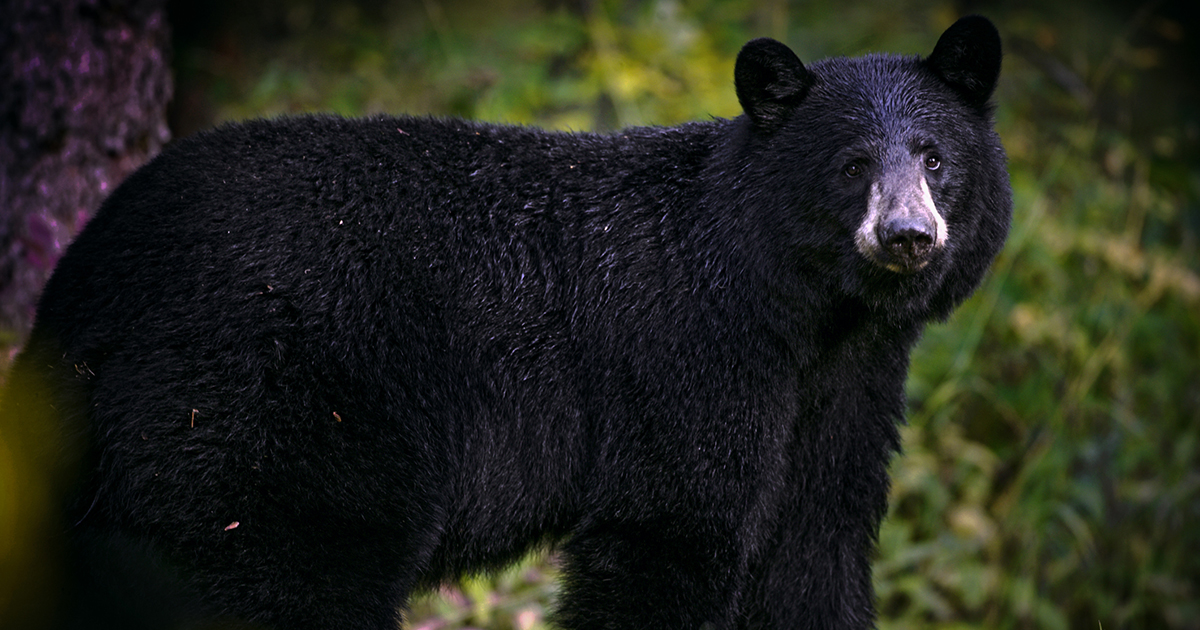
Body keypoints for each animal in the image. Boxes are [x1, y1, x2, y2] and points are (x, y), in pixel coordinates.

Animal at [2, 14, 1010, 630]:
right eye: (852, 164)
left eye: (933, 157)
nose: (909, 236)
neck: (804, 310)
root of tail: (85, 287)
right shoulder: (688, 362)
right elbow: (671, 534)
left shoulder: (847, 390)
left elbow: (813, 549)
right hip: (262, 424)